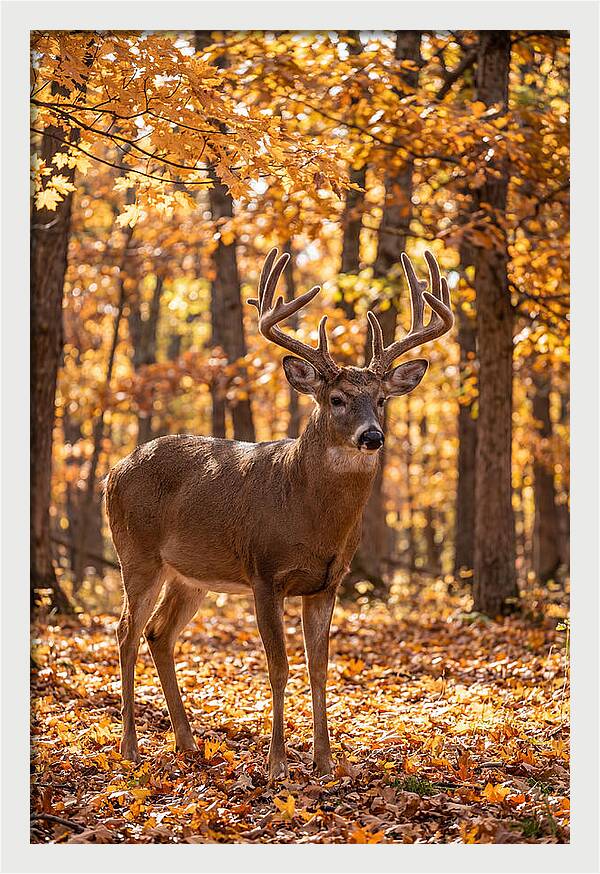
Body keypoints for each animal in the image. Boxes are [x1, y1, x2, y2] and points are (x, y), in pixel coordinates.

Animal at [105, 247, 453, 781]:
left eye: (381, 399)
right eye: (336, 398)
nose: (372, 436)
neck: (308, 515)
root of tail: (113, 471)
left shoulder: (328, 582)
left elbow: (319, 667)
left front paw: (326, 761)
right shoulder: (264, 572)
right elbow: (279, 666)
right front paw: (277, 764)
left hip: (191, 574)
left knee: (158, 634)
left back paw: (187, 744)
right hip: (137, 554)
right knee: (126, 632)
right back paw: (130, 748)